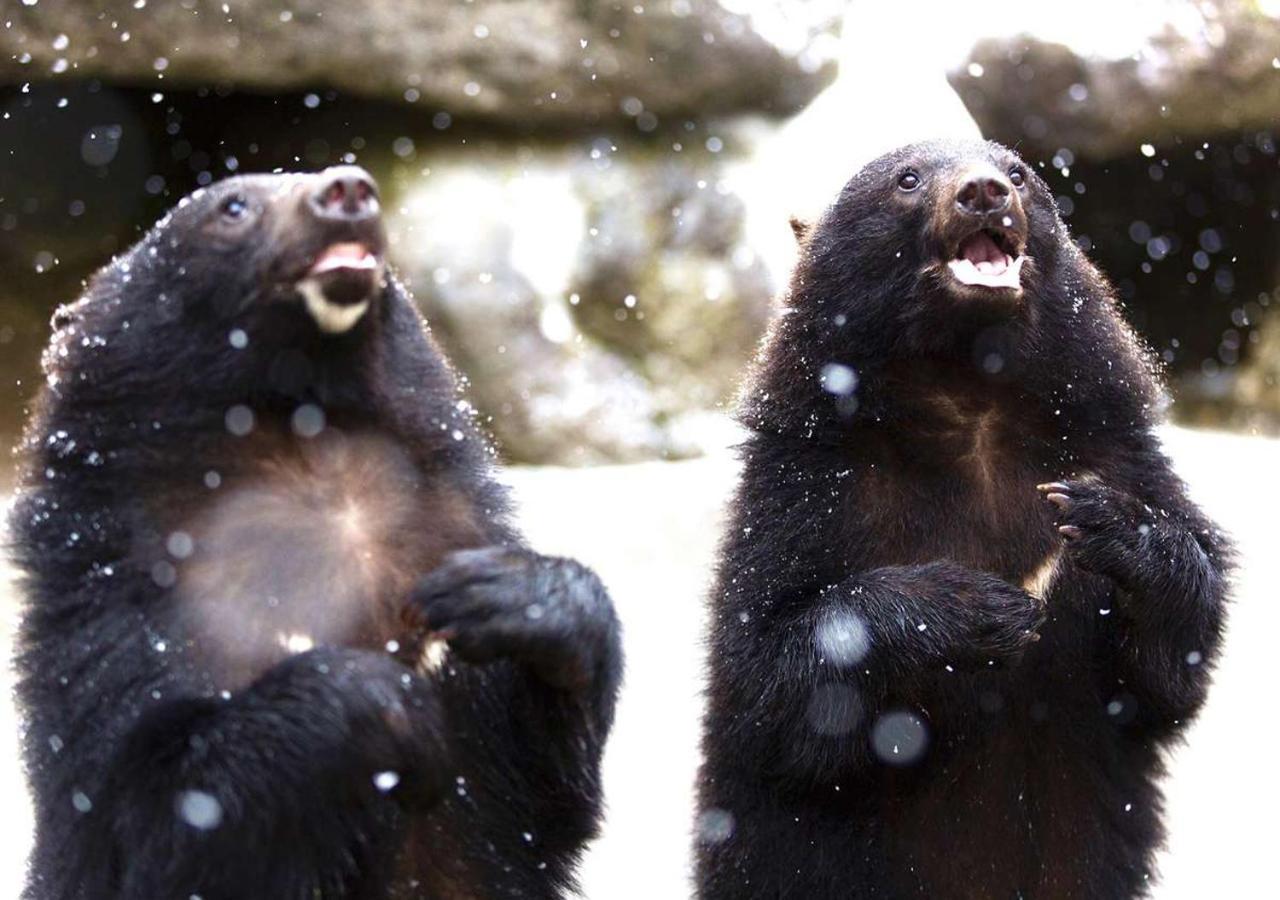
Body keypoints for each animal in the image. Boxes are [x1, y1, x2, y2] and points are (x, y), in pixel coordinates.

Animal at [12, 167, 622, 900]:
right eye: (233, 205)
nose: (349, 188)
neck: (306, 448)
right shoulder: (109, 612)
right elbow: (152, 815)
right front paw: (394, 705)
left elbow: (529, 800)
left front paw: (504, 595)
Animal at [701, 140, 1228, 900]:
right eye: (907, 178)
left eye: (1018, 173)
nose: (982, 192)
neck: (968, 389)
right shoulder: (805, 487)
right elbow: (770, 669)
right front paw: (975, 608)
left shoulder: (1118, 446)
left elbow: (1171, 661)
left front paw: (1107, 525)